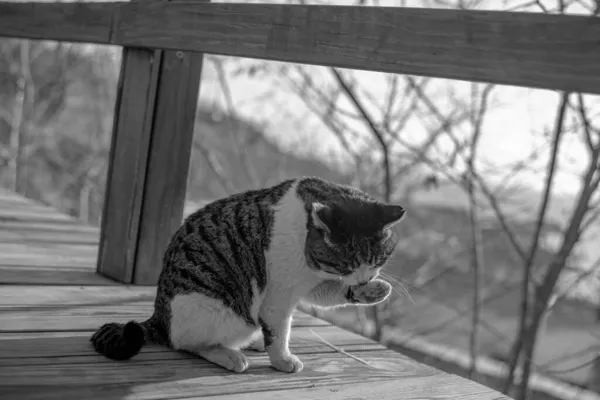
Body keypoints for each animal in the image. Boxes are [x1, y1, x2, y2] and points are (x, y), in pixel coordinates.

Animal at [91, 177, 406, 374]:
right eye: (346, 266)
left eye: (377, 261)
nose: (363, 280)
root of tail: (159, 316)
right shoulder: (279, 296)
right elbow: (279, 333)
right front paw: (282, 360)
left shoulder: (308, 284)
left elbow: (331, 295)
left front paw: (371, 291)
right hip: (217, 310)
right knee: (186, 343)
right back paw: (229, 354)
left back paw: (253, 341)